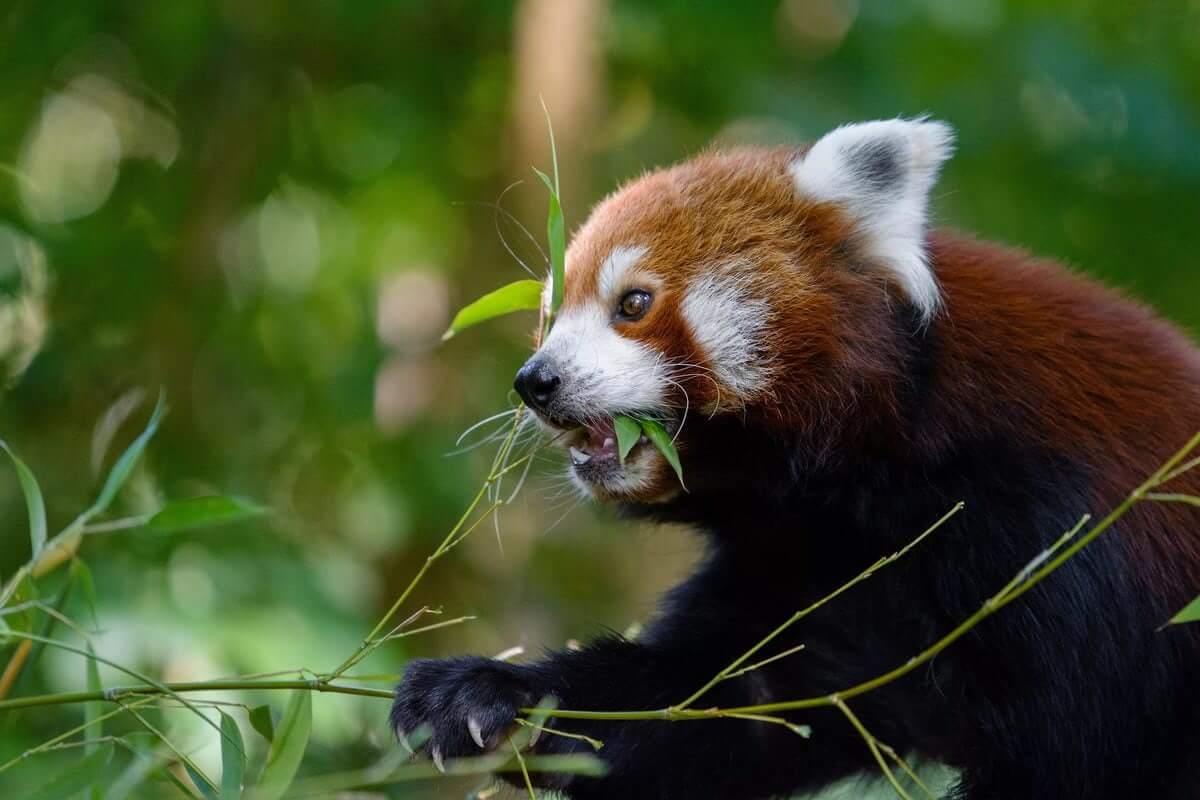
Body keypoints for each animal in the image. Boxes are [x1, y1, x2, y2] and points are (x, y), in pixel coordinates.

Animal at [393, 118, 1200, 800]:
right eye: (551, 314)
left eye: (633, 303)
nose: (535, 381)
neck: (877, 472)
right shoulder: (805, 562)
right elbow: (723, 705)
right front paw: (485, 697)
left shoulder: (1059, 538)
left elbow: (1074, 757)